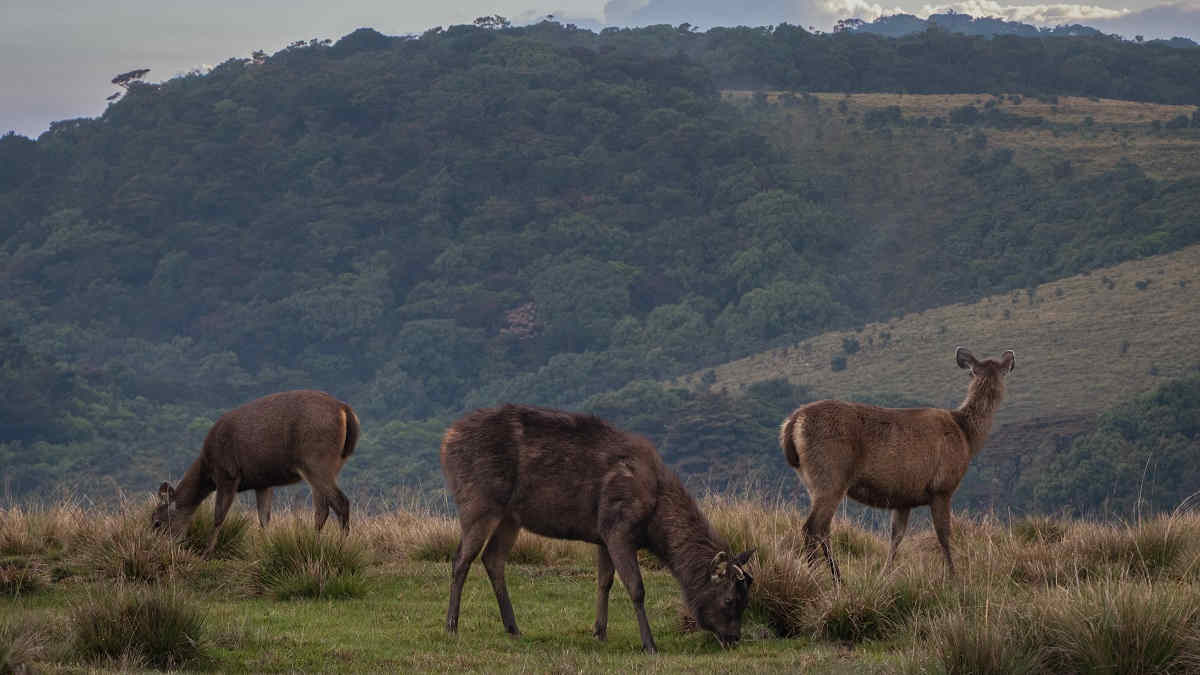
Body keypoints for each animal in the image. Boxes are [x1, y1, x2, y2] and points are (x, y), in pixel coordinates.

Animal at [150, 389, 357, 552]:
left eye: (157, 522)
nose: (156, 547)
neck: (207, 469)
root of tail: (345, 410)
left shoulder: (227, 473)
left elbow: (218, 517)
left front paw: (207, 552)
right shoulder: (263, 482)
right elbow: (264, 519)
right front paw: (266, 549)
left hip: (316, 460)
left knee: (341, 502)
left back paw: (341, 547)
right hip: (330, 465)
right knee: (322, 509)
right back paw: (314, 543)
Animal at [441, 401, 758, 648]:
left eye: (747, 600)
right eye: (730, 599)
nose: (733, 638)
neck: (653, 520)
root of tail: (447, 439)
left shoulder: (603, 535)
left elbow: (604, 581)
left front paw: (600, 632)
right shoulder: (618, 527)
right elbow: (635, 587)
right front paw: (649, 644)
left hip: (510, 516)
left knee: (493, 559)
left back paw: (514, 628)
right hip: (478, 500)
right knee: (461, 558)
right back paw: (451, 626)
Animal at [777, 345, 1012, 578]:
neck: (966, 436)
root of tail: (792, 422)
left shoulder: (903, 498)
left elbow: (896, 537)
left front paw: (885, 573)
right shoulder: (942, 487)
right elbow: (943, 535)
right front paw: (953, 575)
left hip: (812, 480)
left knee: (822, 529)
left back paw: (832, 575)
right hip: (831, 474)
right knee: (813, 528)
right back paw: (823, 575)